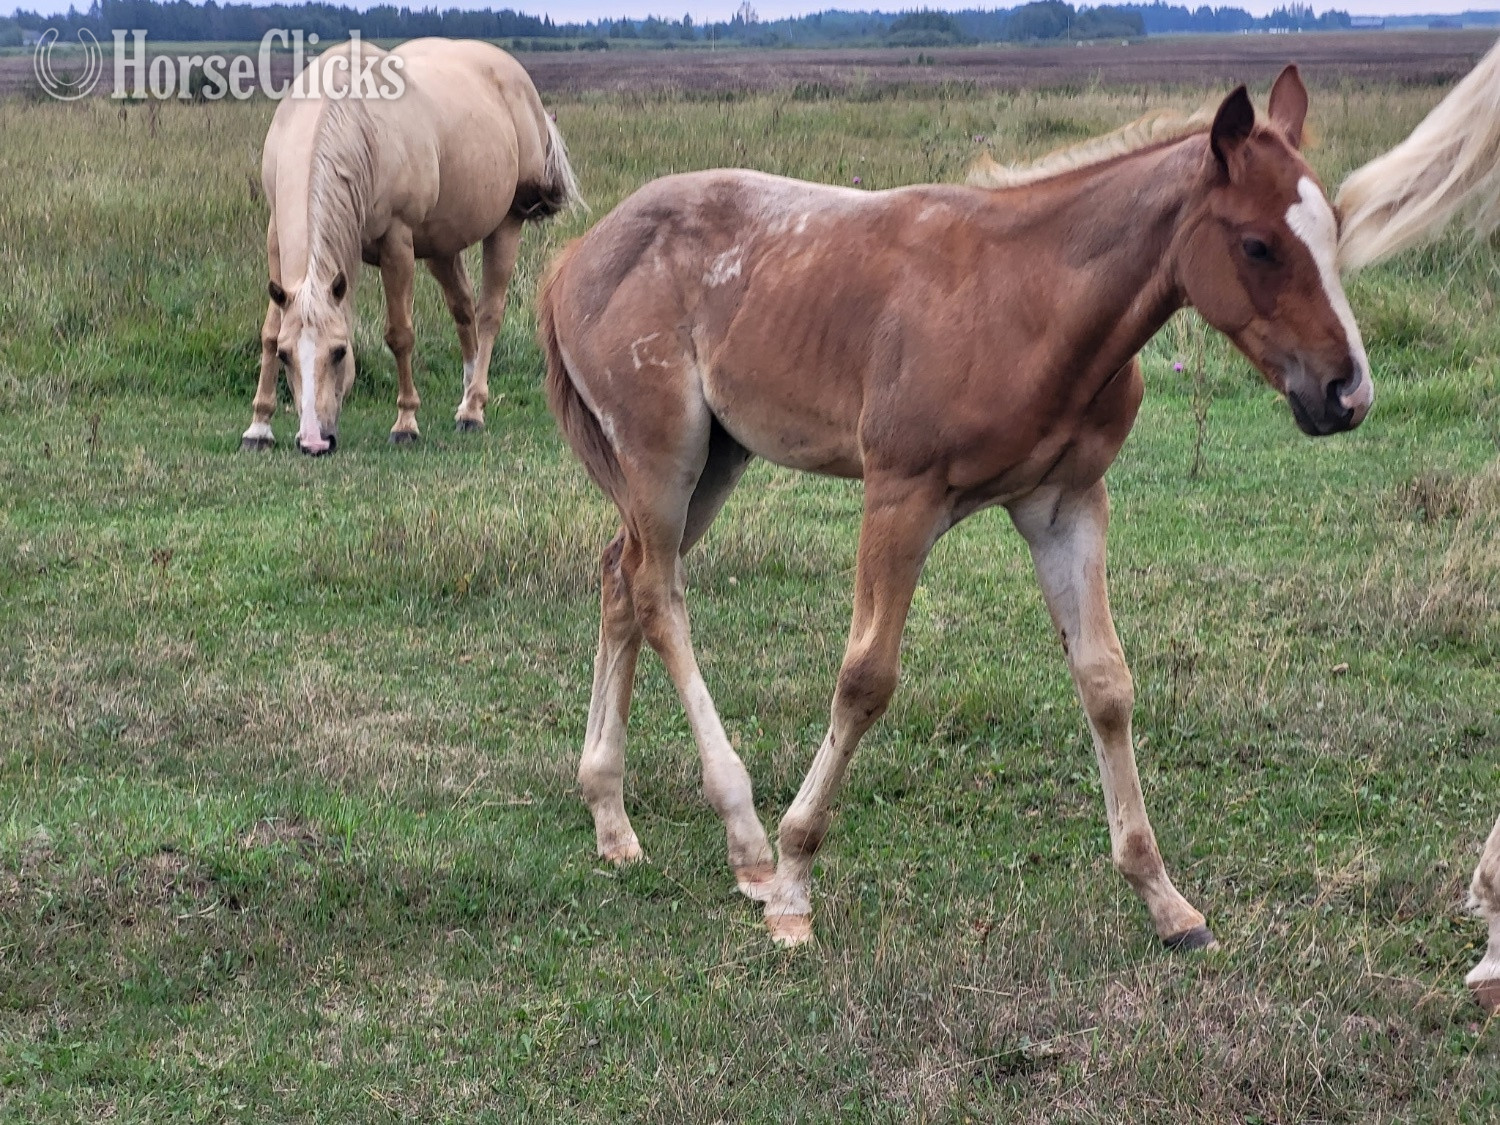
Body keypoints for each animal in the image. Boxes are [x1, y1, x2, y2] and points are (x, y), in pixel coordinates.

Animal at [241, 38, 580, 456]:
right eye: (287, 355)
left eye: (339, 351)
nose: (314, 441)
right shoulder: (275, 237)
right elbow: (269, 331)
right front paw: (259, 426)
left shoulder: (397, 244)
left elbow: (400, 334)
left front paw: (406, 422)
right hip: (440, 247)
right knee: (463, 308)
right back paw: (466, 395)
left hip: (504, 228)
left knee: (488, 315)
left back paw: (473, 408)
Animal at [539, 64, 1371, 950]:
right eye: (1257, 244)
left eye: (1334, 227)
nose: (1346, 392)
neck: (1031, 300)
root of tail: (575, 256)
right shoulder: (900, 495)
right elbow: (865, 679)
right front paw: (795, 881)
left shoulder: (1065, 503)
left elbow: (1106, 681)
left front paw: (1165, 899)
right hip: (662, 455)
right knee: (657, 592)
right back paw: (748, 840)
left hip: (716, 459)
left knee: (619, 574)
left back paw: (611, 816)